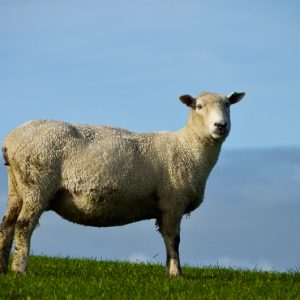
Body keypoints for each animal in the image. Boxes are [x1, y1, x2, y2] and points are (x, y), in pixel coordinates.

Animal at [0, 90, 244, 276]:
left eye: (228, 105)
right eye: (199, 106)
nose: (220, 126)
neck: (189, 148)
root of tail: (11, 138)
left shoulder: (164, 207)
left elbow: (167, 239)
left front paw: (169, 272)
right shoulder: (172, 201)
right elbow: (174, 239)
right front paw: (176, 274)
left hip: (17, 187)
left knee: (7, 224)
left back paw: (4, 267)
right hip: (37, 183)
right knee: (24, 225)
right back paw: (19, 270)